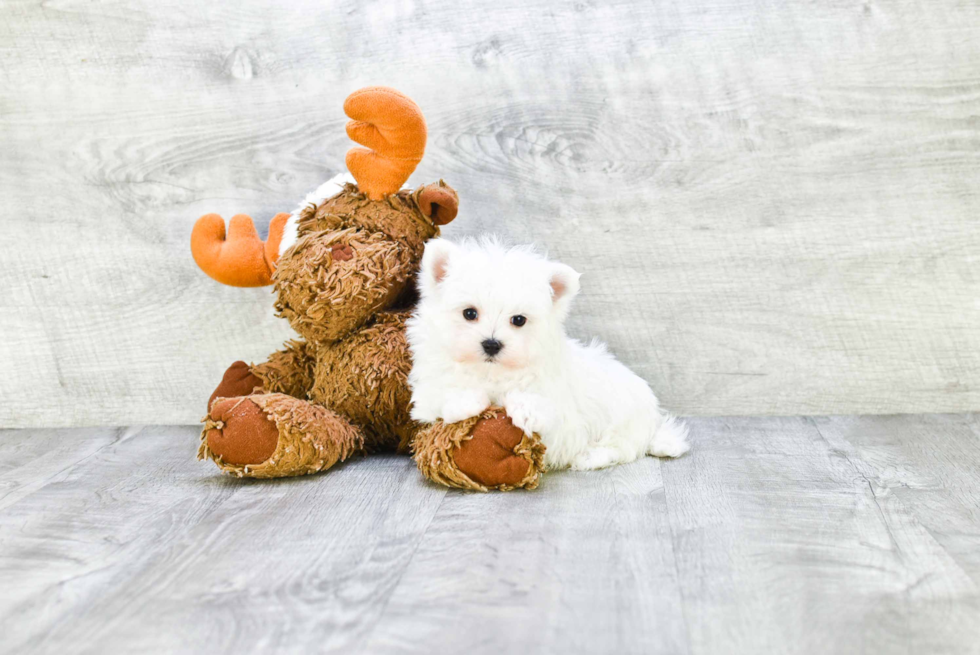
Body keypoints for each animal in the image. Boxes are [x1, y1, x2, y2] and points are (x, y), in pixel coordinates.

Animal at [406, 238, 688, 468]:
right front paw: (464, 400)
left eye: (518, 320)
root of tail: (652, 425)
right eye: (469, 313)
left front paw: (527, 409)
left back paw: (591, 457)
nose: (492, 344)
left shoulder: (564, 425)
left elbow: (547, 414)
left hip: (623, 415)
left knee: (622, 447)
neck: (492, 372)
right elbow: (438, 396)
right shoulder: (426, 396)